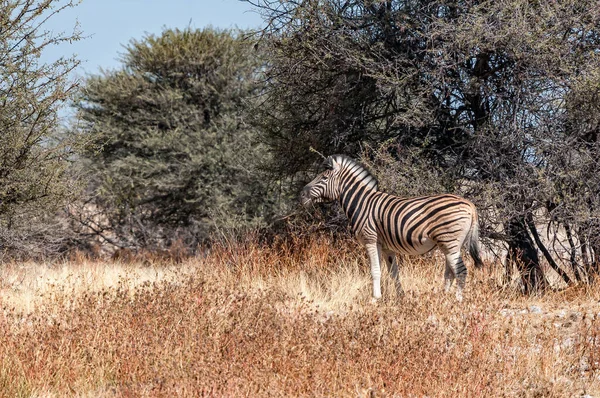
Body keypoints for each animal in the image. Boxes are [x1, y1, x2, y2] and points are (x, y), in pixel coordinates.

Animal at [300, 154, 482, 300]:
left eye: (324, 178)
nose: (302, 194)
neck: (362, 203)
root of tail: (469, 205)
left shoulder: (371, 240)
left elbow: (375, 270)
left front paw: (376, 299)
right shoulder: (387, 247)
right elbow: (394, 273)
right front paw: (400, 298)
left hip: (450, 241)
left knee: (461, 271)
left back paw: (456, 301)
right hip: (450, 244)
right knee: (450, 272)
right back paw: (443, 298)